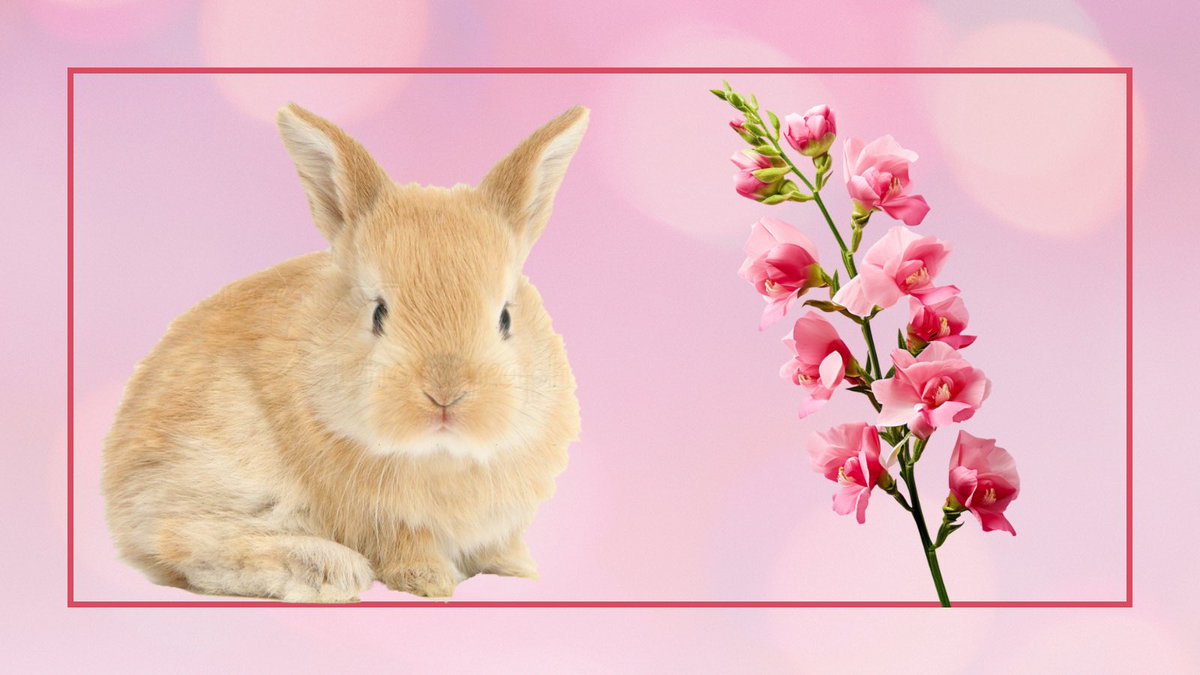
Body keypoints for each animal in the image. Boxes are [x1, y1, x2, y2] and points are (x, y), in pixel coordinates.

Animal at [101, 103, 588, 602]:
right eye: (378, 312)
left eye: (506, 318)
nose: (444, 396)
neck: (440, 454)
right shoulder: (383, 520)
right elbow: (408, 545)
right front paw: (431, 582)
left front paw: (519, 571)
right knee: (184, 541)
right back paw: (330, 570)